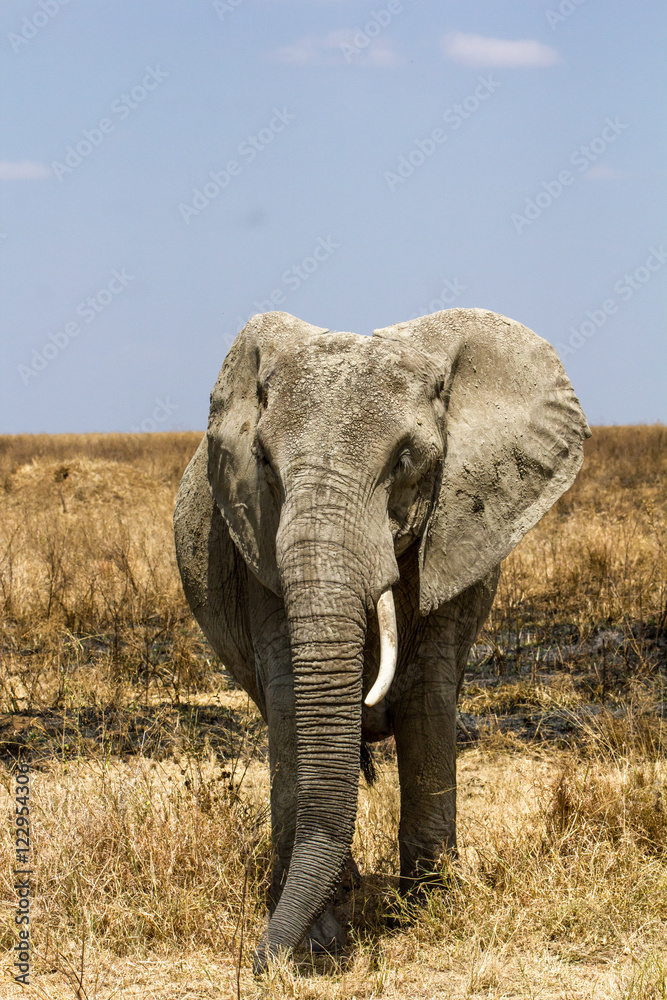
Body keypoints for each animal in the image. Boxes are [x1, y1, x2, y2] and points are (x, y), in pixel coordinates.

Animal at [173, 308, 590, 971]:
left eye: (405, 462)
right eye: (262, 461)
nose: (259, 963)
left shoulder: (454, 533)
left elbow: (426, 692)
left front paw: (429, 912)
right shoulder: (258, 549)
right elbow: (291, 702)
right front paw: (317, 941)